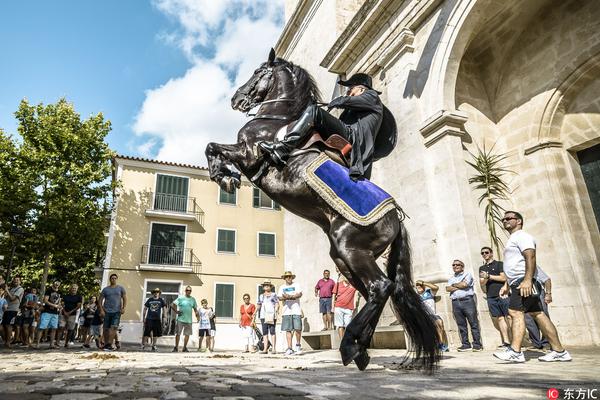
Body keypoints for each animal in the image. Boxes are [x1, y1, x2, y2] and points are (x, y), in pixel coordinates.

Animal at [206, 50, 440, 372]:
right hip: (343, 257)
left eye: (258, 72)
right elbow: (213, 147)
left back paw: (349, 344)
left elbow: (212, 146)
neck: (279, 119)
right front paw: (226, 175)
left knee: (381, 287)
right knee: (373, 292)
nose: (236, 98)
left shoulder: (249, 154)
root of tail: (397, 218)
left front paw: (224, 176)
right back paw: (360, 349)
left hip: (351, 248)